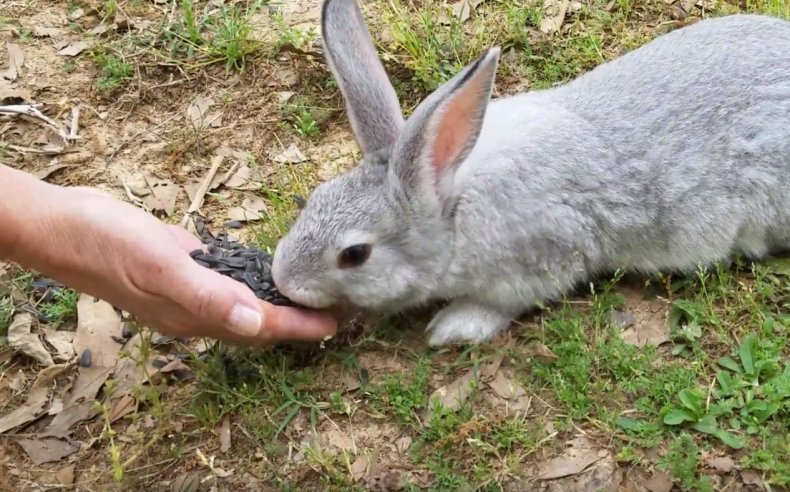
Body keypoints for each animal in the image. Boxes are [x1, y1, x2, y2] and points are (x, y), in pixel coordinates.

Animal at [270, 0, 790, 346]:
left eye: (355, 254)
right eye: (311, 199)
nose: (283, 279)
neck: (453, 205)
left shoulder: (544, 259)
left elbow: (502, 304)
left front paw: (452, 327)